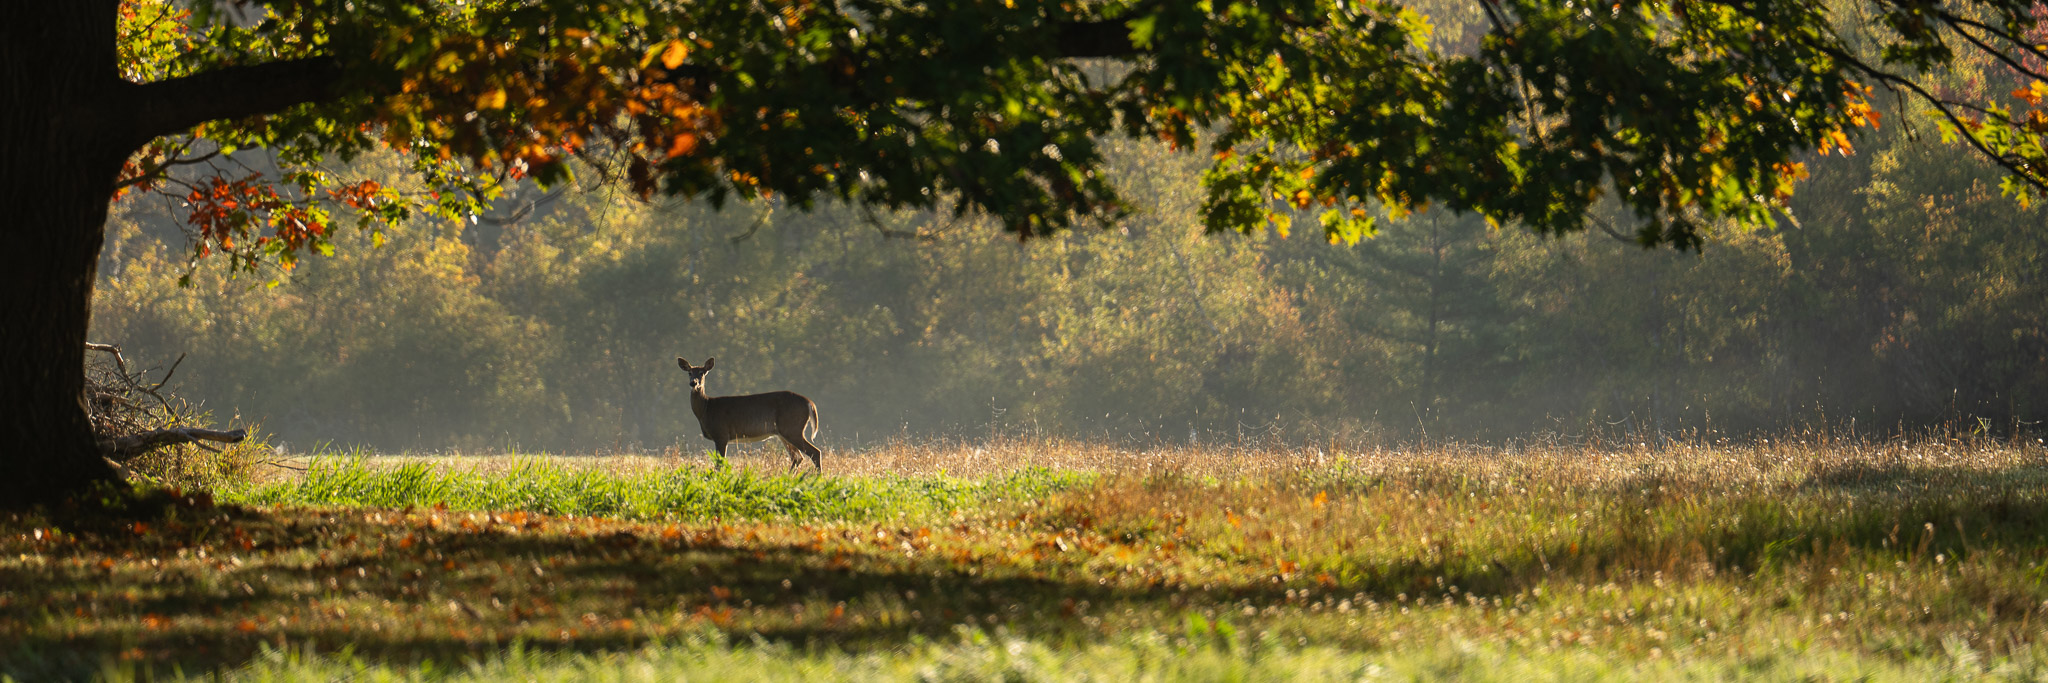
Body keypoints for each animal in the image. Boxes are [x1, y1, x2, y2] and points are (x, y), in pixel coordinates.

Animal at [676, 357, 823, 474]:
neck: (706, 408)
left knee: (814, 452)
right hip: (784, 432)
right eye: (689, 372)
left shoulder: (721, 434)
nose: (693, 383)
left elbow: (719, 464)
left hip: (792, 428)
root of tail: (809, 403)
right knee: (798, 457)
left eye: (702, 373)